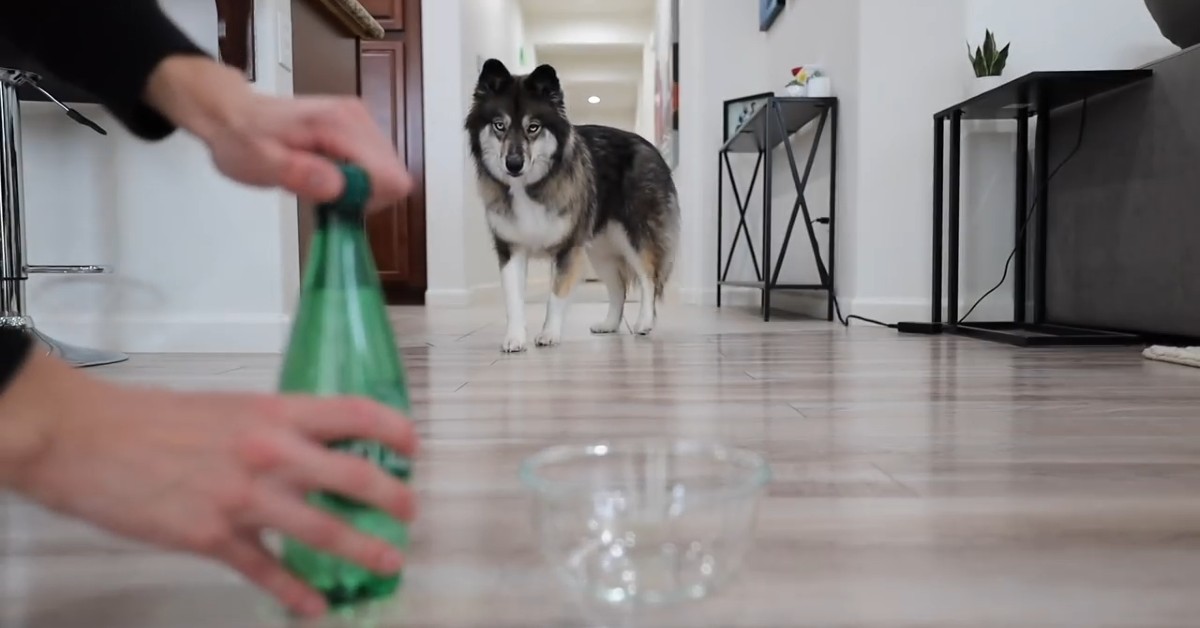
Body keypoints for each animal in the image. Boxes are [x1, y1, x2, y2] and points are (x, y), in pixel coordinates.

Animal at [463, 58, 681, 353]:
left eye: (533, 127)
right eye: (499, 125)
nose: (514, 164)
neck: (528, 187)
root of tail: (651, 148)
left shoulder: (567, 249)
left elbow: (557, 294)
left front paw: (549, 334)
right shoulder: (511, 248)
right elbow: (513, 299)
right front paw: (515, 338)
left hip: (636, 238)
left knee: (648, 279)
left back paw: (644, 323)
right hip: (599, 249)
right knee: (618, 287)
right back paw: (609, 324)